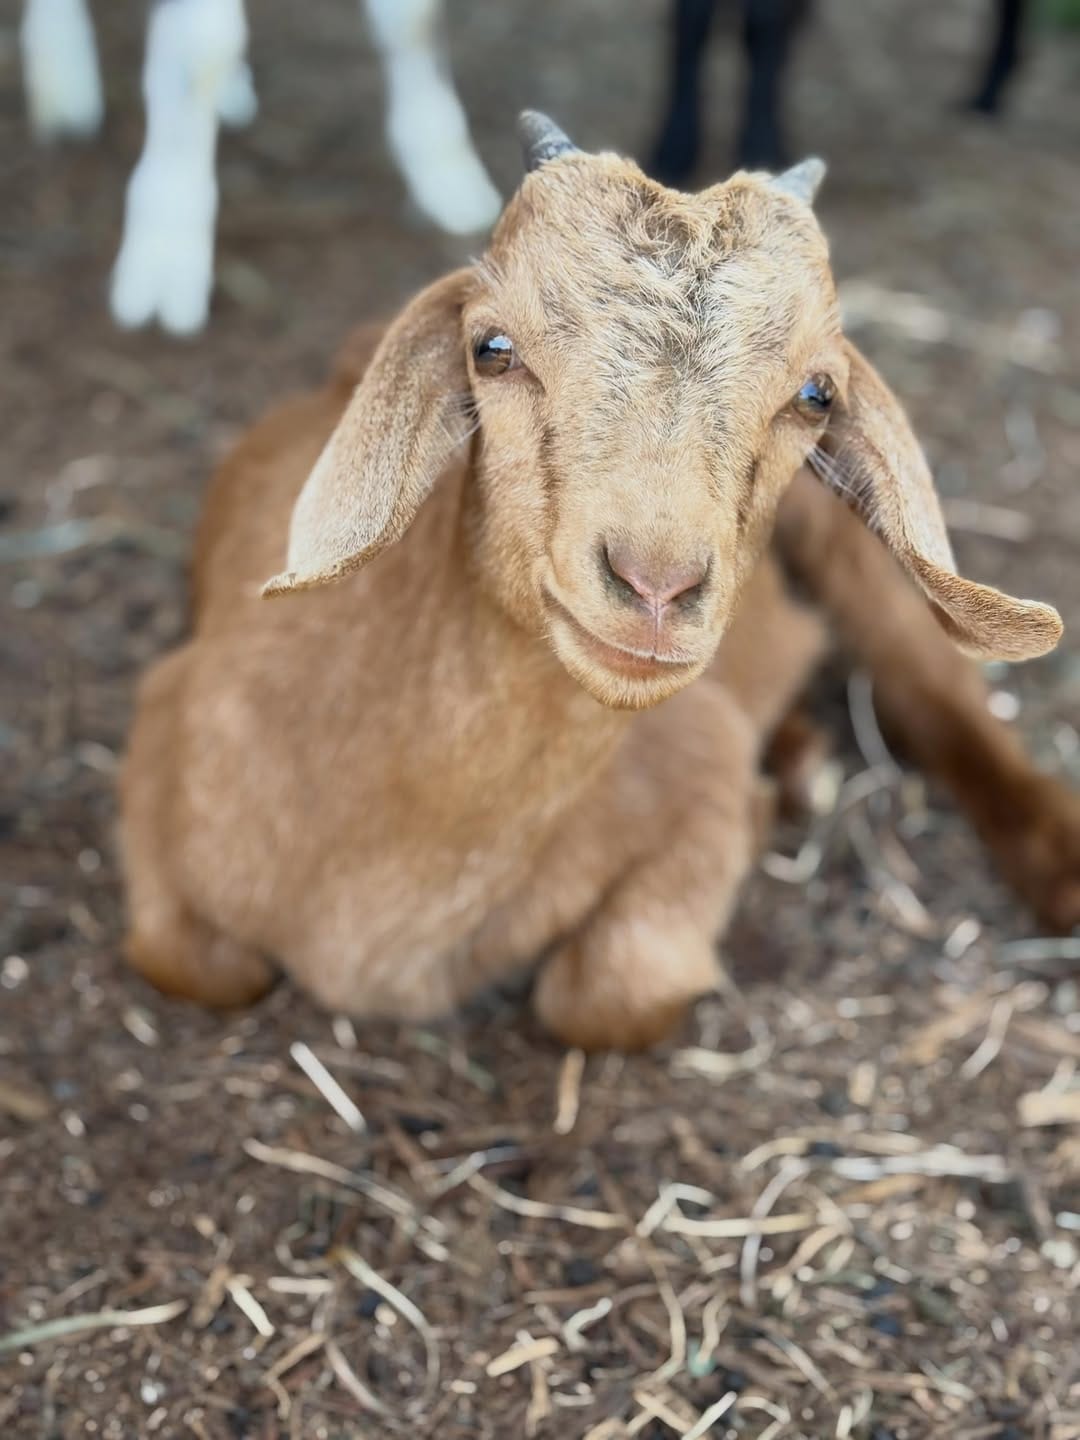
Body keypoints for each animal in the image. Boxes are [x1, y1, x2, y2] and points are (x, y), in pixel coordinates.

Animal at [119, 112, 1079, 1052]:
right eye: (491, 348)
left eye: (816, 395)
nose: (655, 586)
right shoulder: (168, 733)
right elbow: (193, 962)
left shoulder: (700, 764)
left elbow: (610, 996)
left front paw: (756, 818)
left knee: (934, 689)